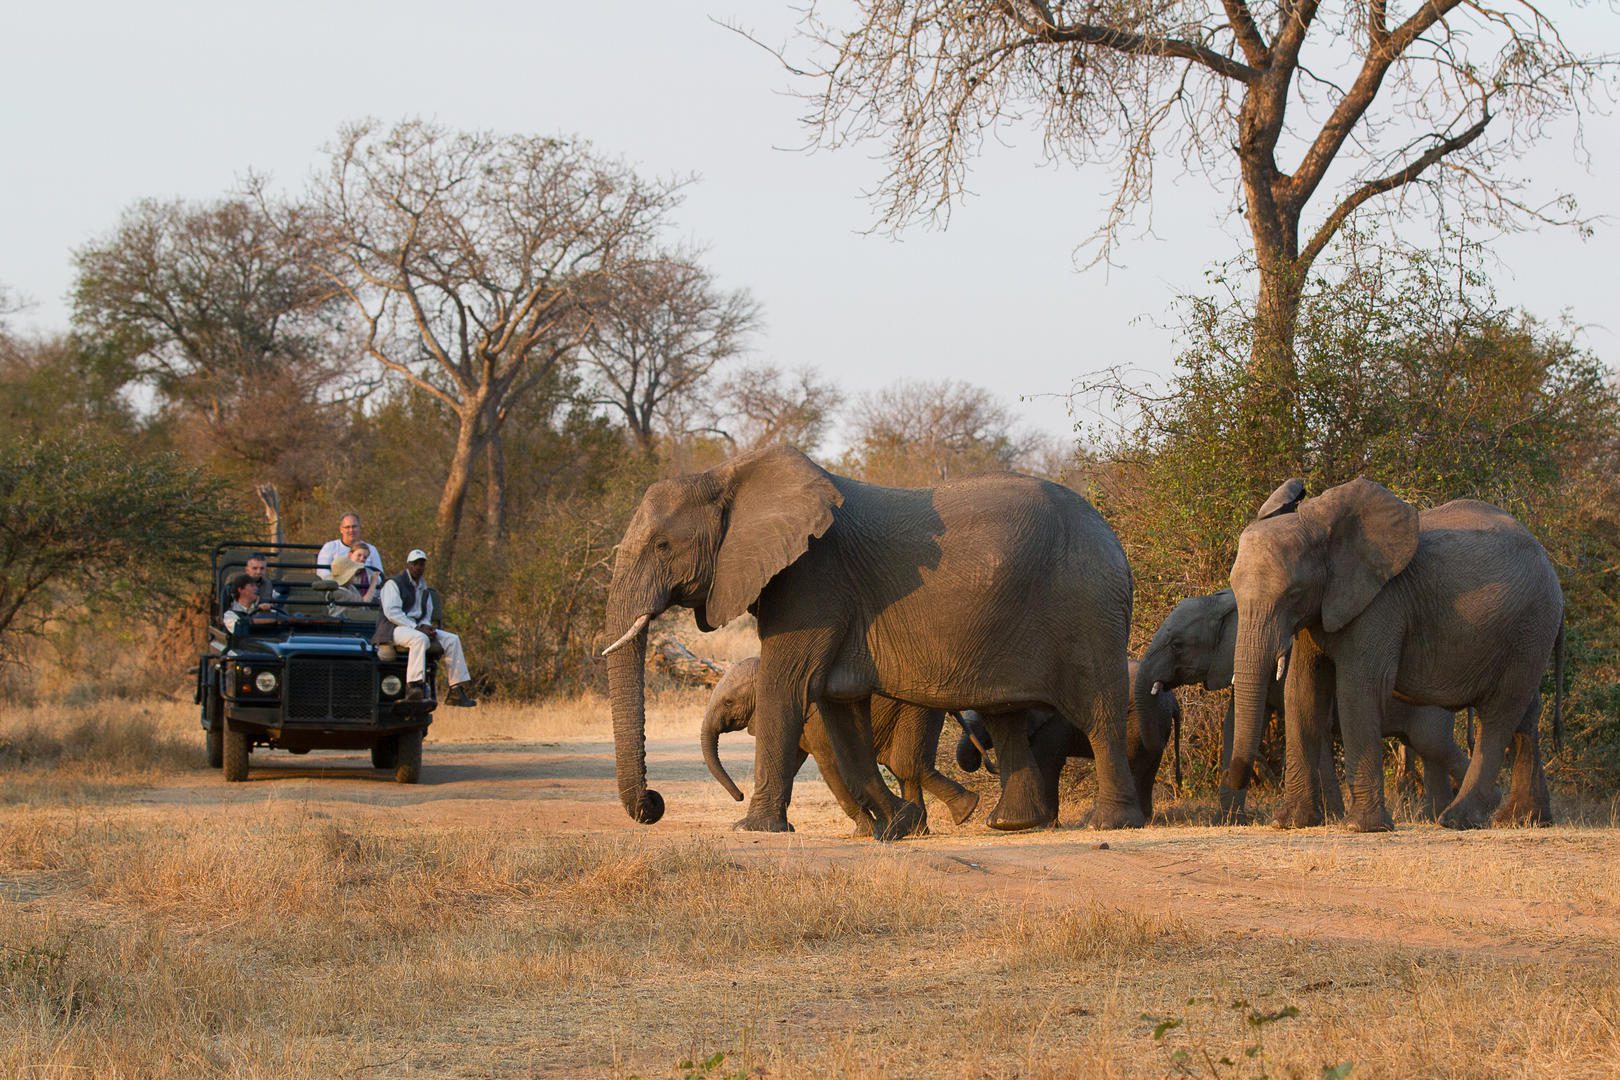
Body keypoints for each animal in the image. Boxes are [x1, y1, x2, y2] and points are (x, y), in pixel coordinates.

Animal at [701, 657, 980, 835]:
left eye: (728, 702)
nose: (739, 795)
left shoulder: (816, 715)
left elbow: (829, 763)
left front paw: (865, 831)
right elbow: (792, 763)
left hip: (916, 708)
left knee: (905, 764)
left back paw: (963, 811)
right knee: (902, 767)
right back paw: (917, 830)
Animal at [953, 659, 1181, 823]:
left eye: (986, 724)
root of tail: (1173, 701)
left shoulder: (1055, 723)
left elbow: (1046, 763)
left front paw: (1044, 826)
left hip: (1140, 722)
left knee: (1134, 763)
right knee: (1148, 768)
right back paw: (1146, 819)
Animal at [1139, 588, 1471, 821]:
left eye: (1178, 645)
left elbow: (1314, 728)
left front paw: (1333, 817)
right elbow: (1234, 725)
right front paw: (1229, 821)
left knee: (1434, 745)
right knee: (1430, 752)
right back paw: (1434, 815)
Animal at [1225, 477, 1564, 832]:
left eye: (1294, 592)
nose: (1241, 776)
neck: (1322, 528)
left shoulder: (1381, 603)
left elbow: (1358, 689)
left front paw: (1361, 827)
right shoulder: (1319, 610)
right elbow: (1302, 691)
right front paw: (1289, 823)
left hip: (1531, 623)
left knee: (1499, 714)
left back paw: (1457, 818)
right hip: (1528, 632)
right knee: (1525, 713)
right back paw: (1523, 819)